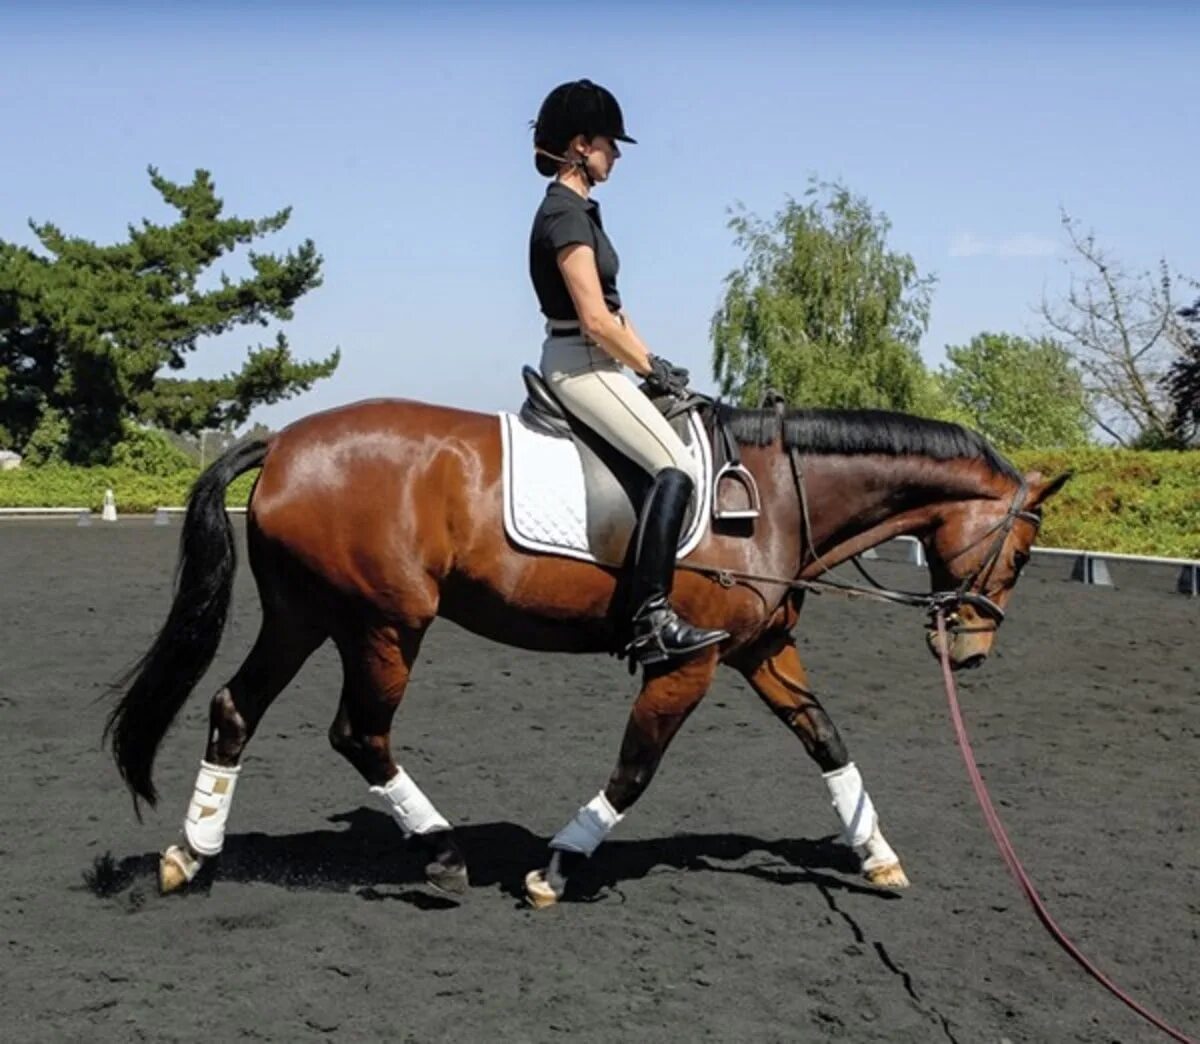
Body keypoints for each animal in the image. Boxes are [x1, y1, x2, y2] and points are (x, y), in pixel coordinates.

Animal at [105, 393, 1070, 907]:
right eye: (1023, 551)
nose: (970, 650)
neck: (776, 496)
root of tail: (285, 440)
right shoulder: (689, 658)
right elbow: (636, 768)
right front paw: (558, 868)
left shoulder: (763, 648)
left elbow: (826, 739)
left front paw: (877, 854)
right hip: (384, 624)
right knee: (358, 733)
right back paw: (443, 854)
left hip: (308, 615)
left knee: (236, 708)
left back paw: (192, 854)